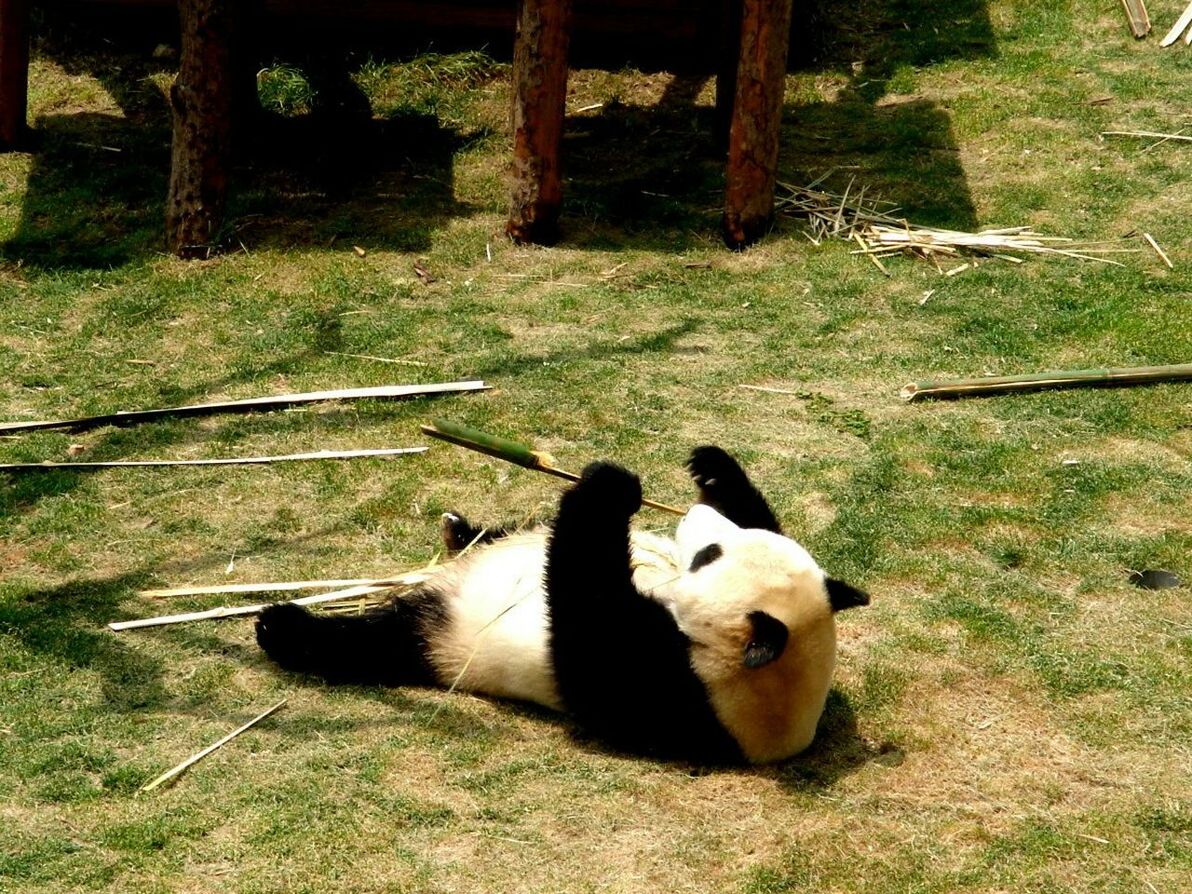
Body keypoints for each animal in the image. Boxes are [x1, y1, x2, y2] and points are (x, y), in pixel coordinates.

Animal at [256, 448, 867, 762]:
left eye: (707, 556)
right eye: (718, 544)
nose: (694, 516)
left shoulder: (669, 692)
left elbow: (585, 607)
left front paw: (612, 485)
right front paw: (713, 468)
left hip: (445, 640)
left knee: (373, 643)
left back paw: (282, 627)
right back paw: (462, 529)